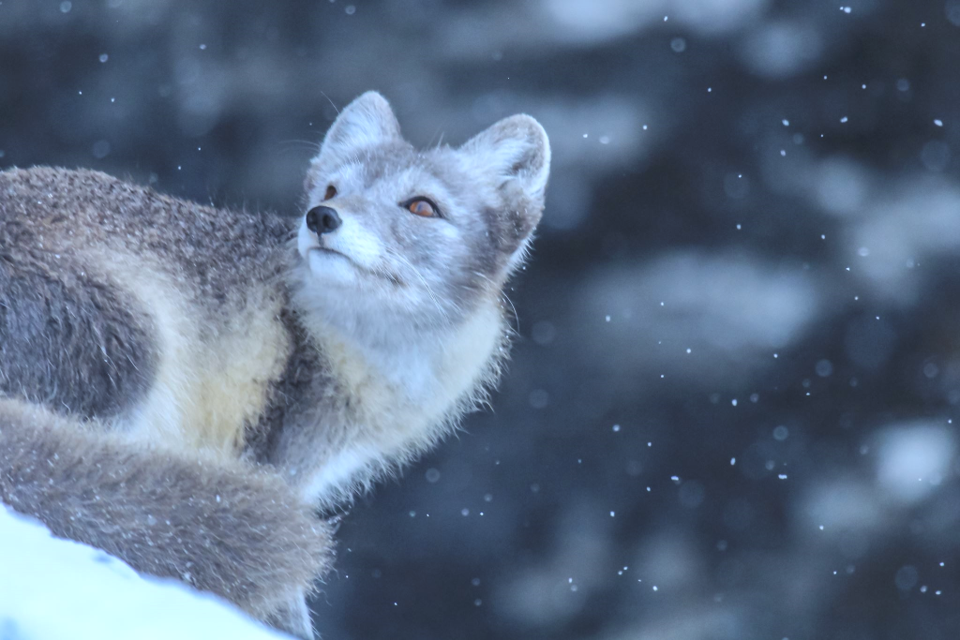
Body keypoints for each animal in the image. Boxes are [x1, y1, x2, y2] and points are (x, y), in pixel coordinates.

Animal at [0, 91, 550, 637]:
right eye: (331, 189)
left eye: (421, 206)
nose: (322, 217)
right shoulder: (281, 461)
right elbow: (287, 607)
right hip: (134, 346)